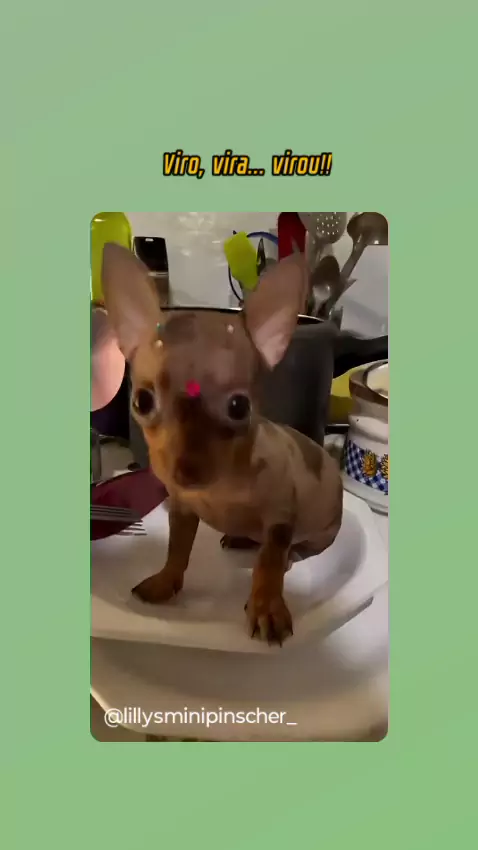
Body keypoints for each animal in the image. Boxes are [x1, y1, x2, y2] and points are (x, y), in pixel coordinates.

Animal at [101, 243, 343, 645]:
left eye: (239, 407)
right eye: (142, 401)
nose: (186, 470)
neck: (220, 490)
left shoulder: (281, 516)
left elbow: (269, 563)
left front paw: (266, 605)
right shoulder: (182, 509)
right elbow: (177, 549)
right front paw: (165, 581)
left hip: (323, 530)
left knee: (296, 549)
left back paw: (289, 554)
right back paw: (242, 538)